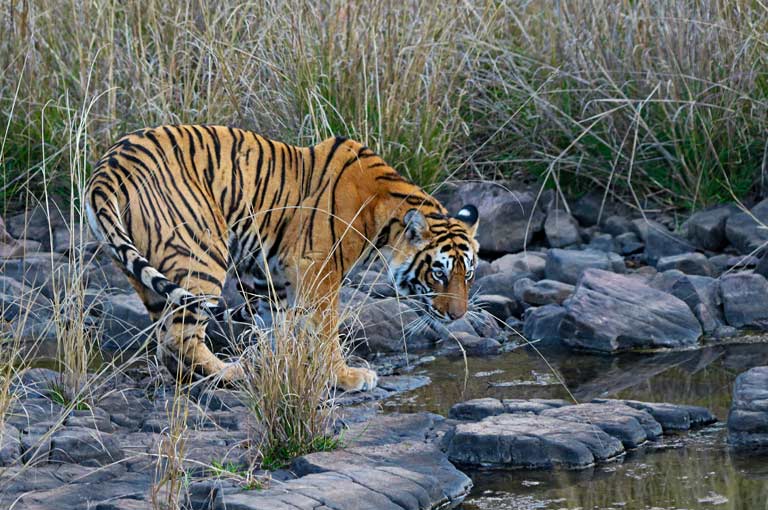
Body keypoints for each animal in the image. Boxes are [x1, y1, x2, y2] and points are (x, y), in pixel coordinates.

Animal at [85, 125, 479, 392]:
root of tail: (107, 166)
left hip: (146, 271)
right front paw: (344, 376)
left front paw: (284, 367)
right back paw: (231, 372)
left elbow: (280, 326)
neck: (385, 214)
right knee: (180, 339)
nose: (457, 316)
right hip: (200, 253)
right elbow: (325, 329)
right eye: (439, 274)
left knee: (166, 338)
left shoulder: (267, 274)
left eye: (469, 274)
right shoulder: (318, 270)